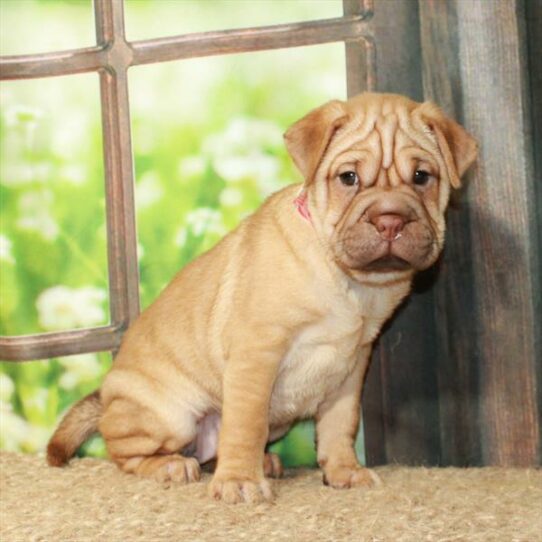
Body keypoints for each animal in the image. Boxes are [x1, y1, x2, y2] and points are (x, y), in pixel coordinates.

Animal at [47, 93, 480, 506]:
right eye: (349, 178)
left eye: (422, 177)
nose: (390, 219)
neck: (349, 280)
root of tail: (106, 395)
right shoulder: (258, 354)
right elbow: (246, 424)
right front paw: (239, 481)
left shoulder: (351, 365)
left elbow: (339, 425)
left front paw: (343, 471)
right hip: (171, 415)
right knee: (125, 453)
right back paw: (171, 465)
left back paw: (262, 462)